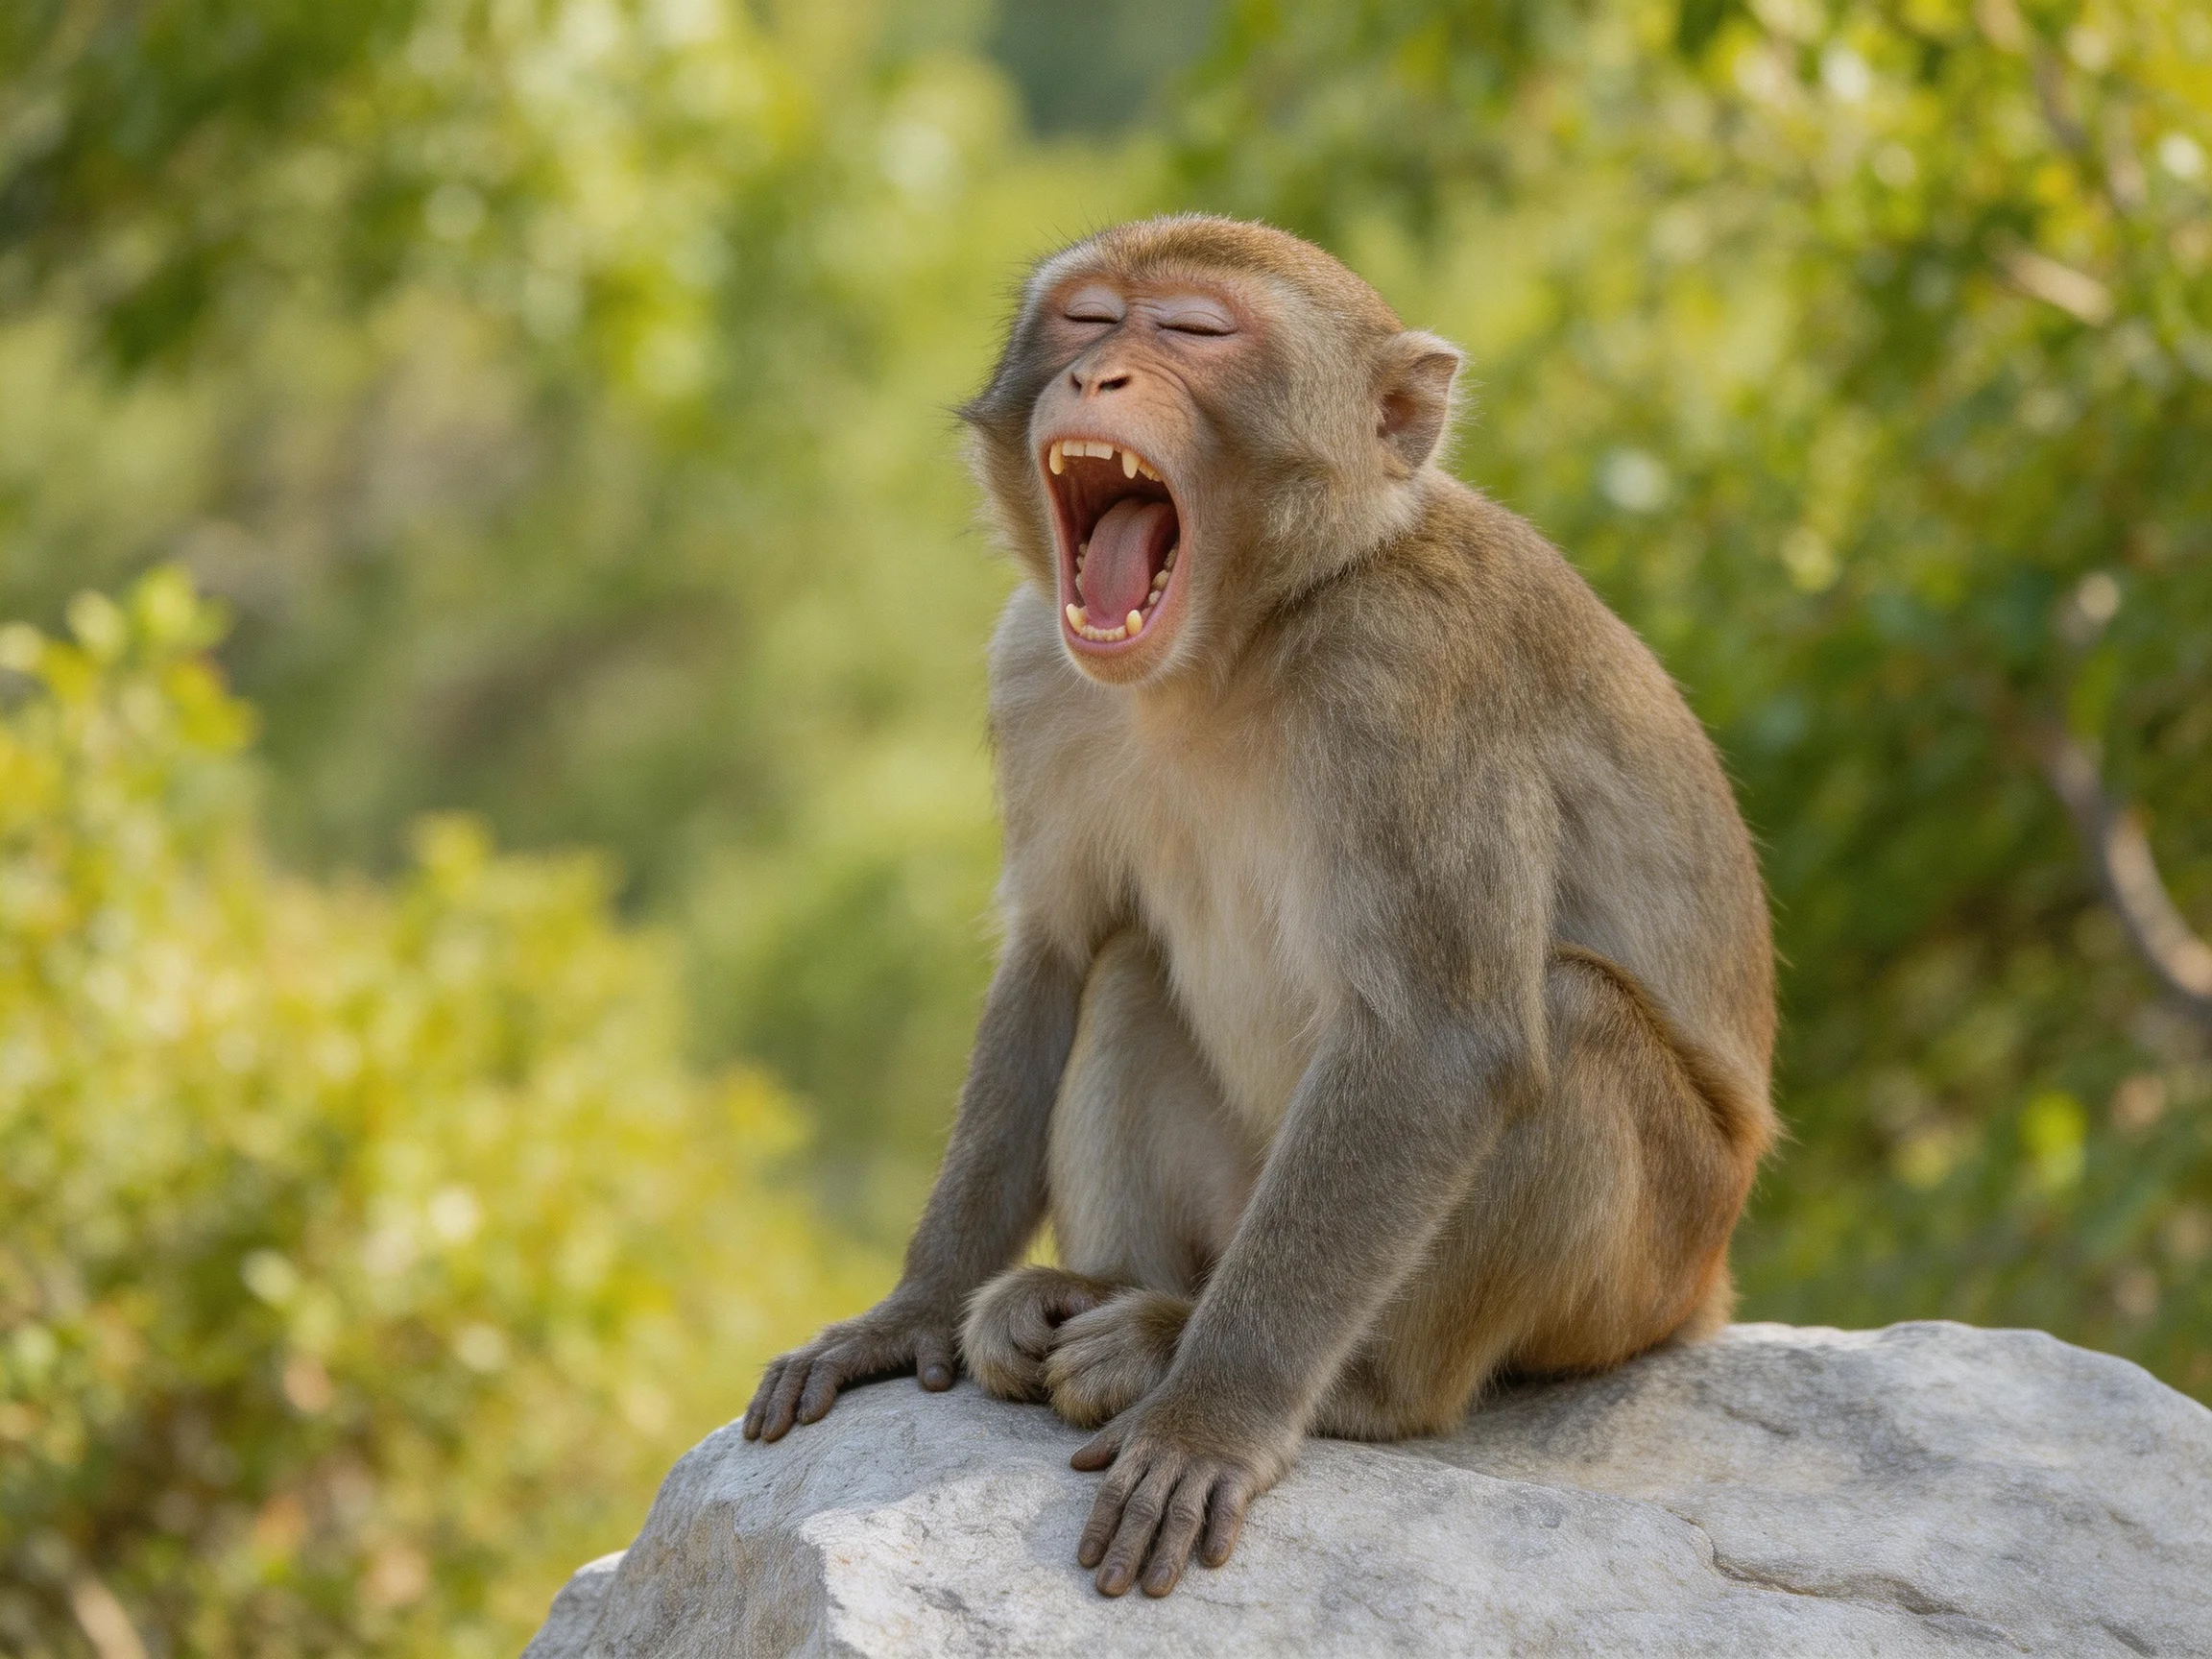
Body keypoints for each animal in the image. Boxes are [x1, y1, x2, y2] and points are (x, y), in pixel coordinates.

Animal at [743, 215, 1776, 1601]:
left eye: (1195, 331)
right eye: (1085, 319)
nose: (1100, 375)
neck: (1230, 647)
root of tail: (1705, 1291)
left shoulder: (1410, 685)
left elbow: (1440, 1041)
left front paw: (1210, 1420)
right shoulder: (1032, 667)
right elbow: (1054, 957)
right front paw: (907, 1314)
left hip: (1645, 1269)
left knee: (1569, 1016)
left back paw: (1313, 1376)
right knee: (1130, 965)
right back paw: (1096, 1294)